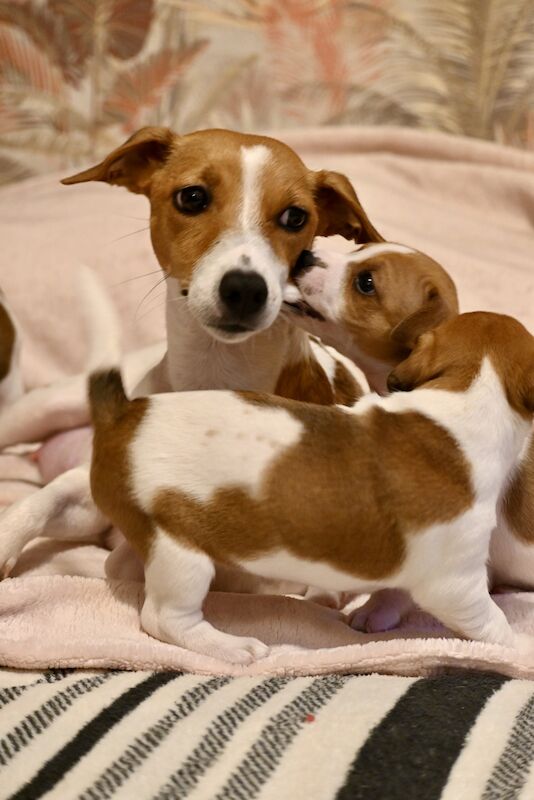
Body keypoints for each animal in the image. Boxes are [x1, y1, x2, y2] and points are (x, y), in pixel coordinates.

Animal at [89, 310, 534, 664]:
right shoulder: (457, 584)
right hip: (182, 555)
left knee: (119, 566)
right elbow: (492, 623)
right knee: (163, 618)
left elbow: (392, 594)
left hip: (152, 534)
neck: (472, 390)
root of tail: (121, 416)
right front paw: (517, 650)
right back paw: (232, 646)